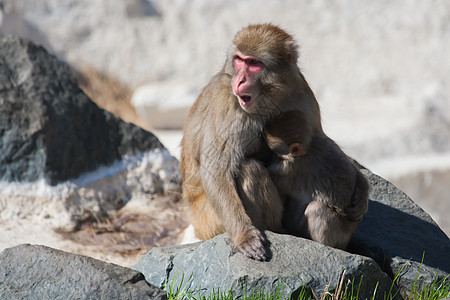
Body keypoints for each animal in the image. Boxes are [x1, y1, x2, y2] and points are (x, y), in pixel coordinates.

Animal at [181, 24, 322, 260]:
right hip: (209, 220)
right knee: (249, 169)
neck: (268, 100)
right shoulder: (228, 105)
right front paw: (244, 236)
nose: (239, 81)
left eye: (254, 63)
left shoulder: (303, 96)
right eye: (239, 60)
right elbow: (217, 170)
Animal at [264, 111, 370, 250]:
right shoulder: (328, 143)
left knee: (316, 208)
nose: (271, 157)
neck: (309, 148)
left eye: (274, 152)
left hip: (339, 235)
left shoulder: (290, 169)